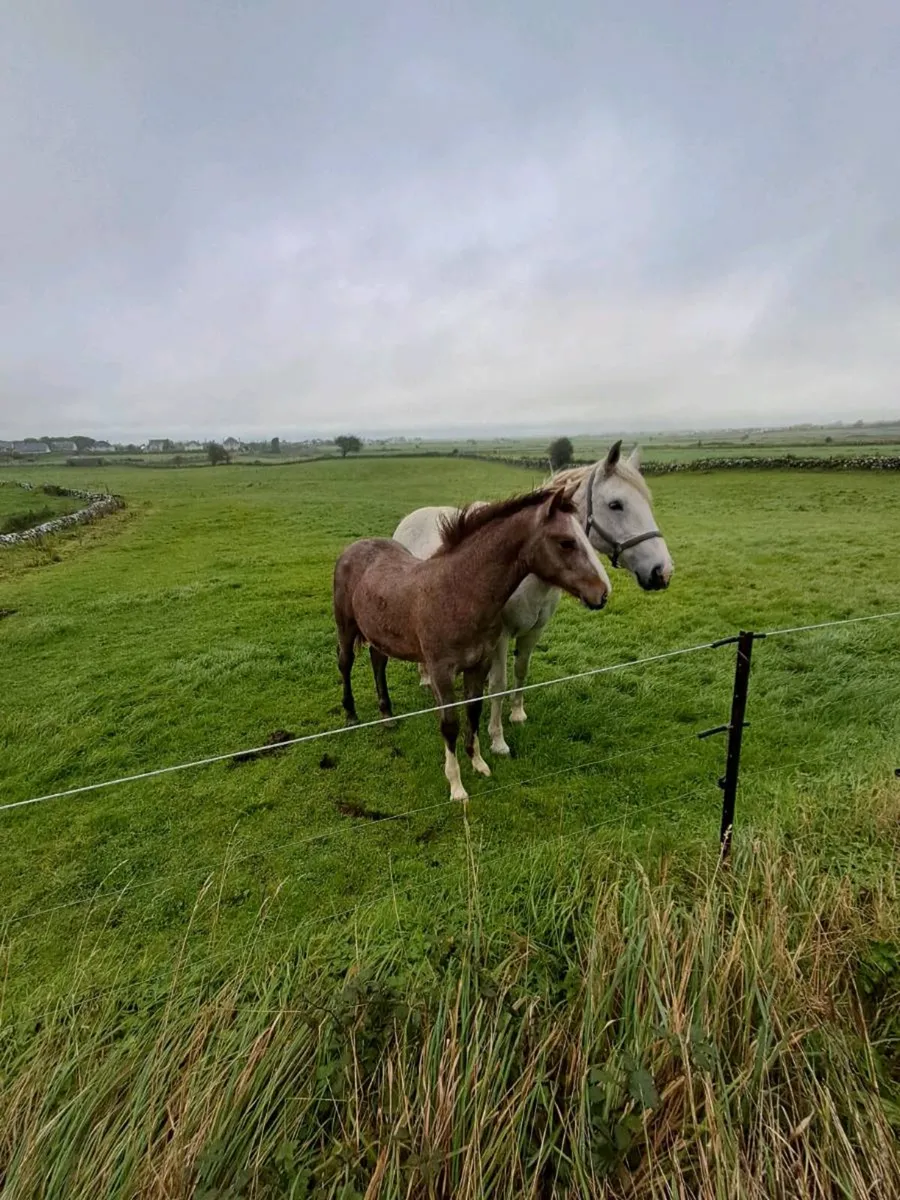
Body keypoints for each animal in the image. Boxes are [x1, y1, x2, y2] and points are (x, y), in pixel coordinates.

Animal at [333, 486, 611, 801]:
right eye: (566, 542)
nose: (602, 593)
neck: (458, 592)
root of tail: (354, 547)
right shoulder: (441, 672)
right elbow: (450, 724)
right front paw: (456, 787)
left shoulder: (479, 665)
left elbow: (474, 711)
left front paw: (479, 763)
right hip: (345, 626)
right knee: (345, 662)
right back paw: (351, 715)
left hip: (380, 633)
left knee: (377, 661)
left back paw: (387, 715)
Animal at [392, 440, 674, 756]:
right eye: (616, 504)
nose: (662, 571)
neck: (528, 573)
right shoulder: (500, 636)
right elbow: (499, 684)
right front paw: (497, 739)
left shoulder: (535, 630)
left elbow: (521, 671)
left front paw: (517, 714)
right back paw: (427, 679)